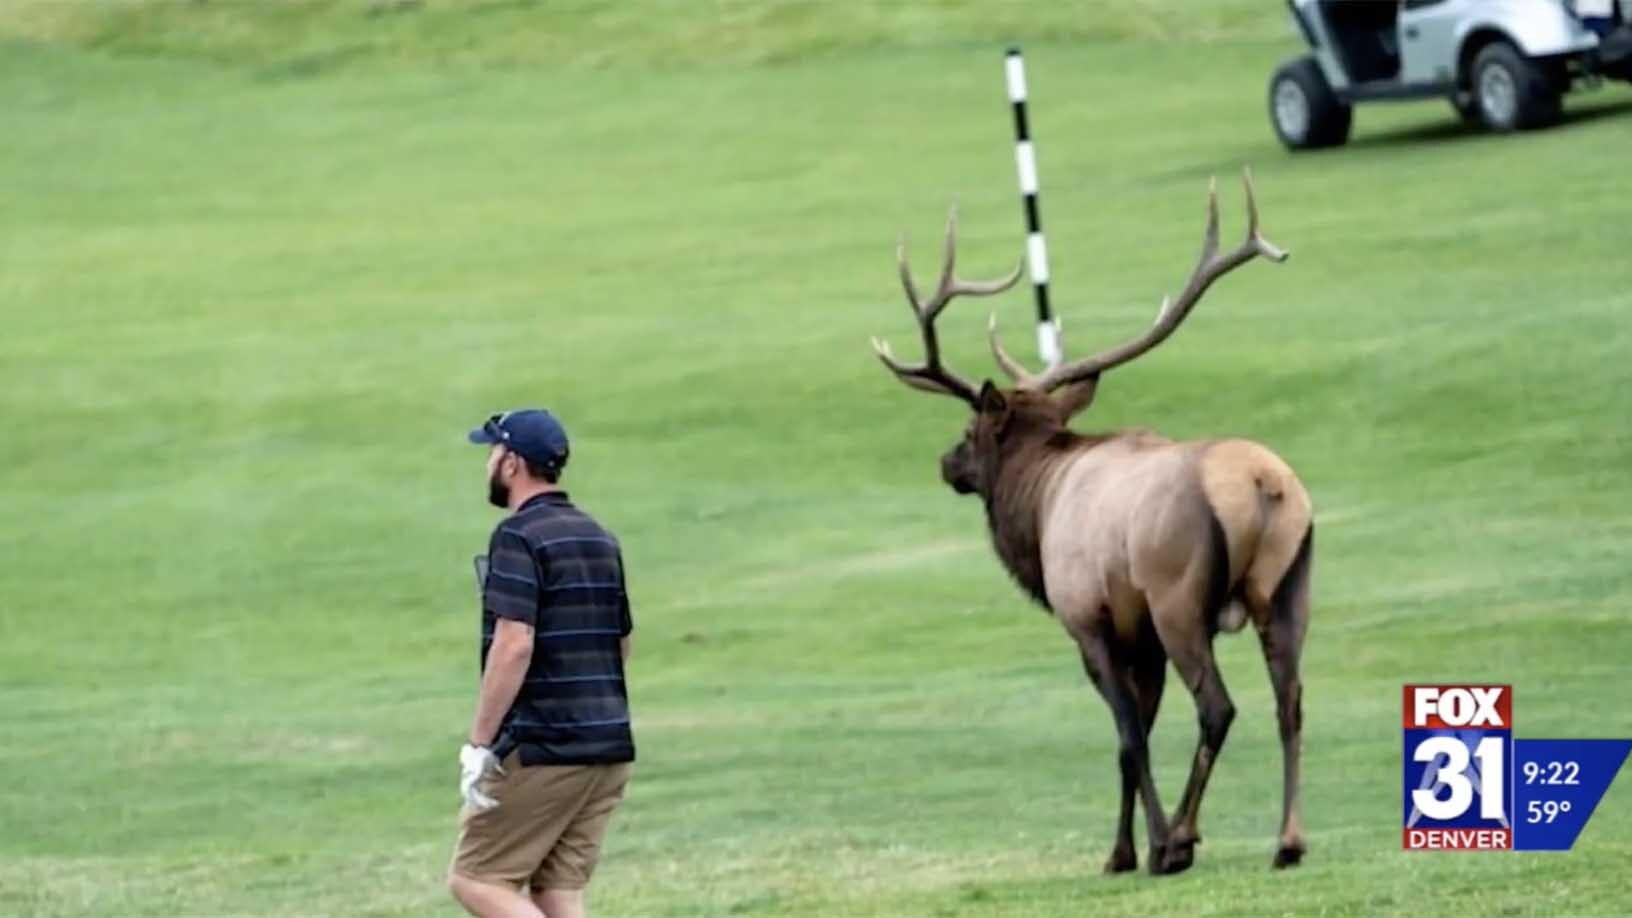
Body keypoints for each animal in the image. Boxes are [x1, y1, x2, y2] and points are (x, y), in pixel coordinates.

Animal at [871, 171, 1313, 876]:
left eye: (969, 429)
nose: (945, 463)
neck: (1039, 505)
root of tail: (1263, 485)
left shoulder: (1089, 618)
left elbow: (1129, 736)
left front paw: (1149, 847)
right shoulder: (1141, 638)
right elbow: (1139, 734)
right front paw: (1124, 849)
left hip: (1177, 596)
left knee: (1218, 707)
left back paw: (1183, 839)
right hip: (1290, 584)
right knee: (1289, 703)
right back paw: (1288, 840)